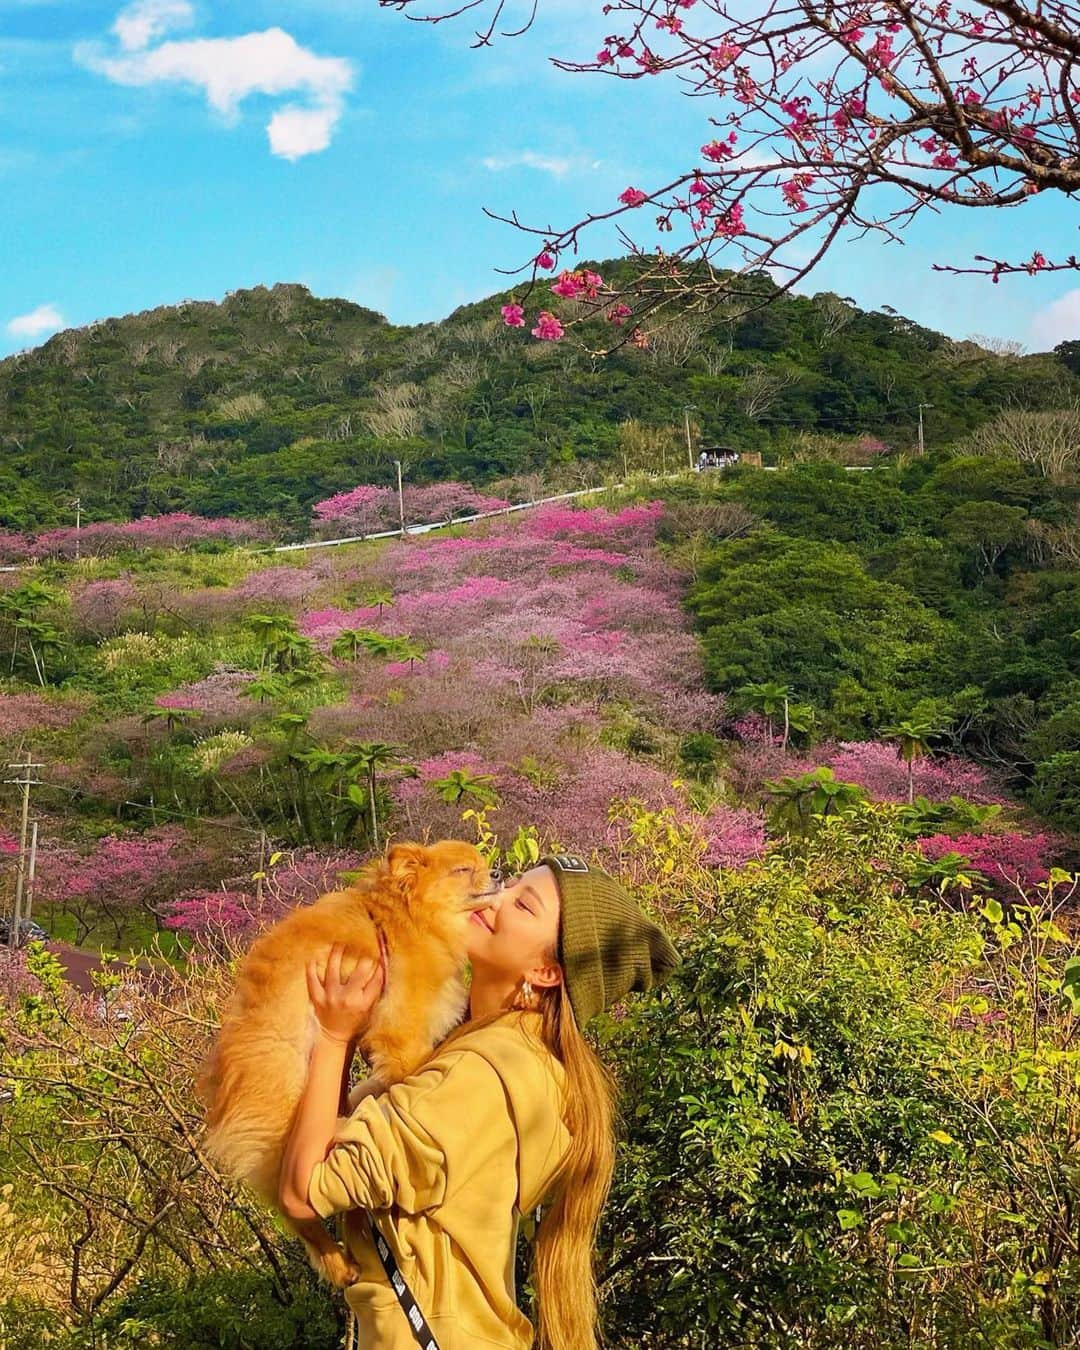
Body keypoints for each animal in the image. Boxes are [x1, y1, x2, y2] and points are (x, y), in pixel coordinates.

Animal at [199, 831, 502, 1285]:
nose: (498, 872)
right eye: (464, 870)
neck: (412, 920)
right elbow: (406, 1072)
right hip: (285, 1107)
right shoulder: (401, 1034)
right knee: (294, 1207)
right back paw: (337, 1263)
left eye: (481, 863)